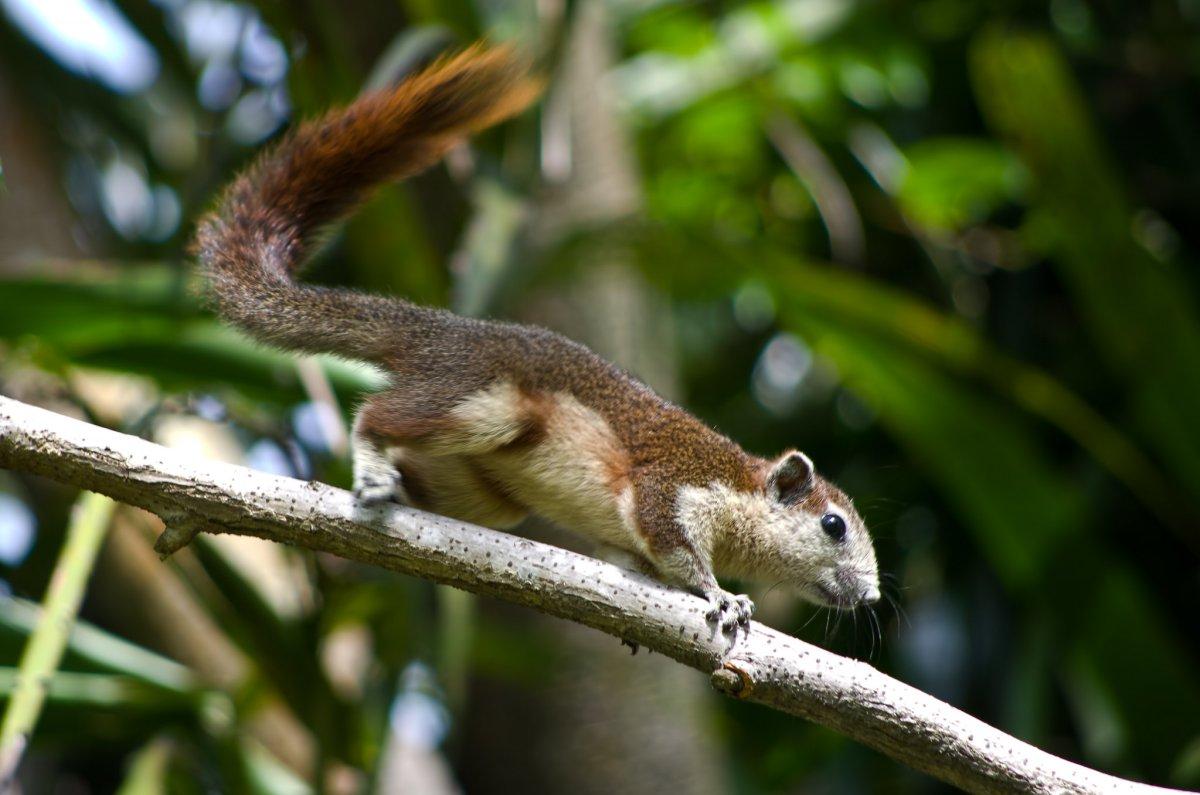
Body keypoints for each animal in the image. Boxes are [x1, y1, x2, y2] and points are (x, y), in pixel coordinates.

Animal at [192, 45, 878, 643]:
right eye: (833, 524)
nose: (871, 596)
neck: (739, 491)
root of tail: (442, 333)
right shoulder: (674, 488)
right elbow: (677, 548)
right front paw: (721, 595)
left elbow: (636, 562)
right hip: (480, 399)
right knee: (376, 415)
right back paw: (373, 462)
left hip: (484, 488)